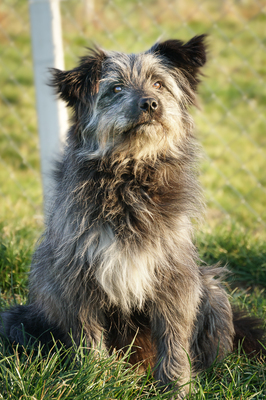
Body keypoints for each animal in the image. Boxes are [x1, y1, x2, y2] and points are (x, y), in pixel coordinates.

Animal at [1, 36, 264, 398]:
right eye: (115, 88)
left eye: (159, 84)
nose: (151, 104)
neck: (130, 177)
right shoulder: (79, 278)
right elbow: (89, 336)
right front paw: (96, 379)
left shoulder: (175, 278)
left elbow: (173, 340)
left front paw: (176, 387)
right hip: (19, 319)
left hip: (211, 292)